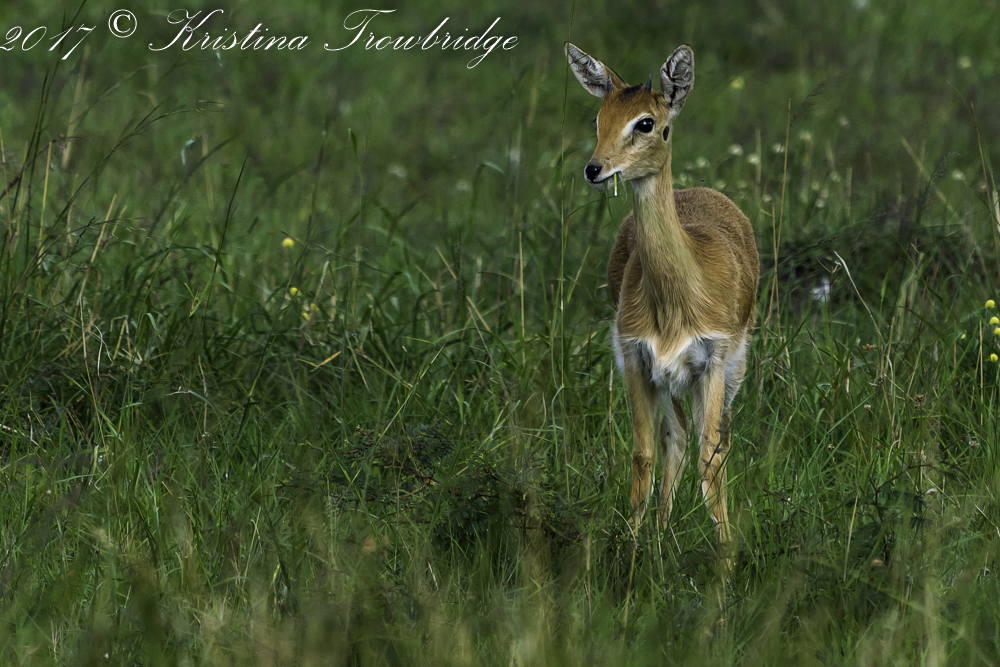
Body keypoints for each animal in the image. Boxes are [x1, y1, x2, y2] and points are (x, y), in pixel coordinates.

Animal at [565, 42, 759, 560]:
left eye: (646, 122)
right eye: (598, 118)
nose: (595, 168)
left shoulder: (712, 363)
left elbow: (710, 458)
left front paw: (726, 557)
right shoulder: (636, 359)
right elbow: (643, 456)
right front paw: (636, 553)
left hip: (729, 375)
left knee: (716, 442)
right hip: (667, 380)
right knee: (674, 437)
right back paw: (660, 534)